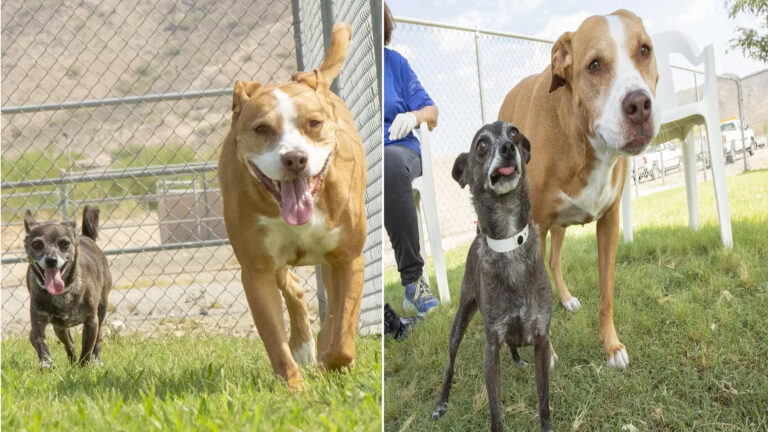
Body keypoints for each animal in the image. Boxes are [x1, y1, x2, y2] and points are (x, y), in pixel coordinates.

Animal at [23, 206, 110, 368]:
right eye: (37, 244)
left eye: (64, 244)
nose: (51, 260)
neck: (62, 294)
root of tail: (86, 237)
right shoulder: (37, 325)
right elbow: (41, 343)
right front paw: (47, 363)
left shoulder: (91, 323)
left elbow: (87, 349)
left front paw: (83, 367)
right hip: (60, 328)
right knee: (69, 344)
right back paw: (71, 361)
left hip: (102, 310)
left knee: (98, 339)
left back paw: (96, 361)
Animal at [218, 22, 368, 388]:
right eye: (261, 128)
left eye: (313, 123)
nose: (295, 158)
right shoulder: (256, 269)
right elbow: (274, 338)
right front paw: (294, 386)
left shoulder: (348, 258)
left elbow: (343, 333)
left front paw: (333, 357)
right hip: (278, 262)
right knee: (294, 289)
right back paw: (303, 347)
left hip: (330, 260)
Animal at [432, 121, 552, 432]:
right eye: (482, 146)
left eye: (514, 133)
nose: (508, 148)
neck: (510, 244)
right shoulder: (491, 351)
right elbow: (496, 412)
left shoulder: (541, 341)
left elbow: (543, 403)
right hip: (459, 322)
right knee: (449, 365)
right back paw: (441, 403)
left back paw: (518, 359)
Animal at [498, 9, 660, 368]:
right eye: (594, 65)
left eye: (644, 50)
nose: (639, 105)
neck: (584, 143)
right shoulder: (534, 228)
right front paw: (545, 353)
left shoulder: (609, 222)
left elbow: (606, 293)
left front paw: (611, 346)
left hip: (558, 227)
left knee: (555, 261)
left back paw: (567, 298)